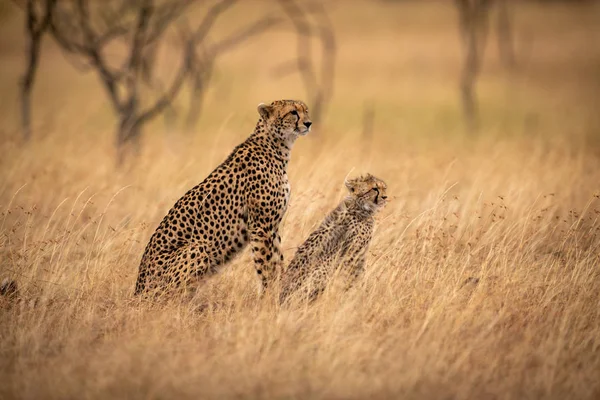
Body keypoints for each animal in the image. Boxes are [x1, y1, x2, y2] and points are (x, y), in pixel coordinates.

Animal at [135, 100, 314, 296]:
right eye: (293, 112)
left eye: (306, 110)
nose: (308, 123)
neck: (277, 146)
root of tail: (137, 290)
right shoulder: (261, 227)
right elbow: (266, 265)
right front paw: (271, 296)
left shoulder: (271, 227)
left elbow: (277, 260)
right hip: (198, 248)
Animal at [278, 174, 386, 304]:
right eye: (374, 189)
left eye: (384, 188)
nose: (385, 197)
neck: (359, 206)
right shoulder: (353, 255)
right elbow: (355, 276)